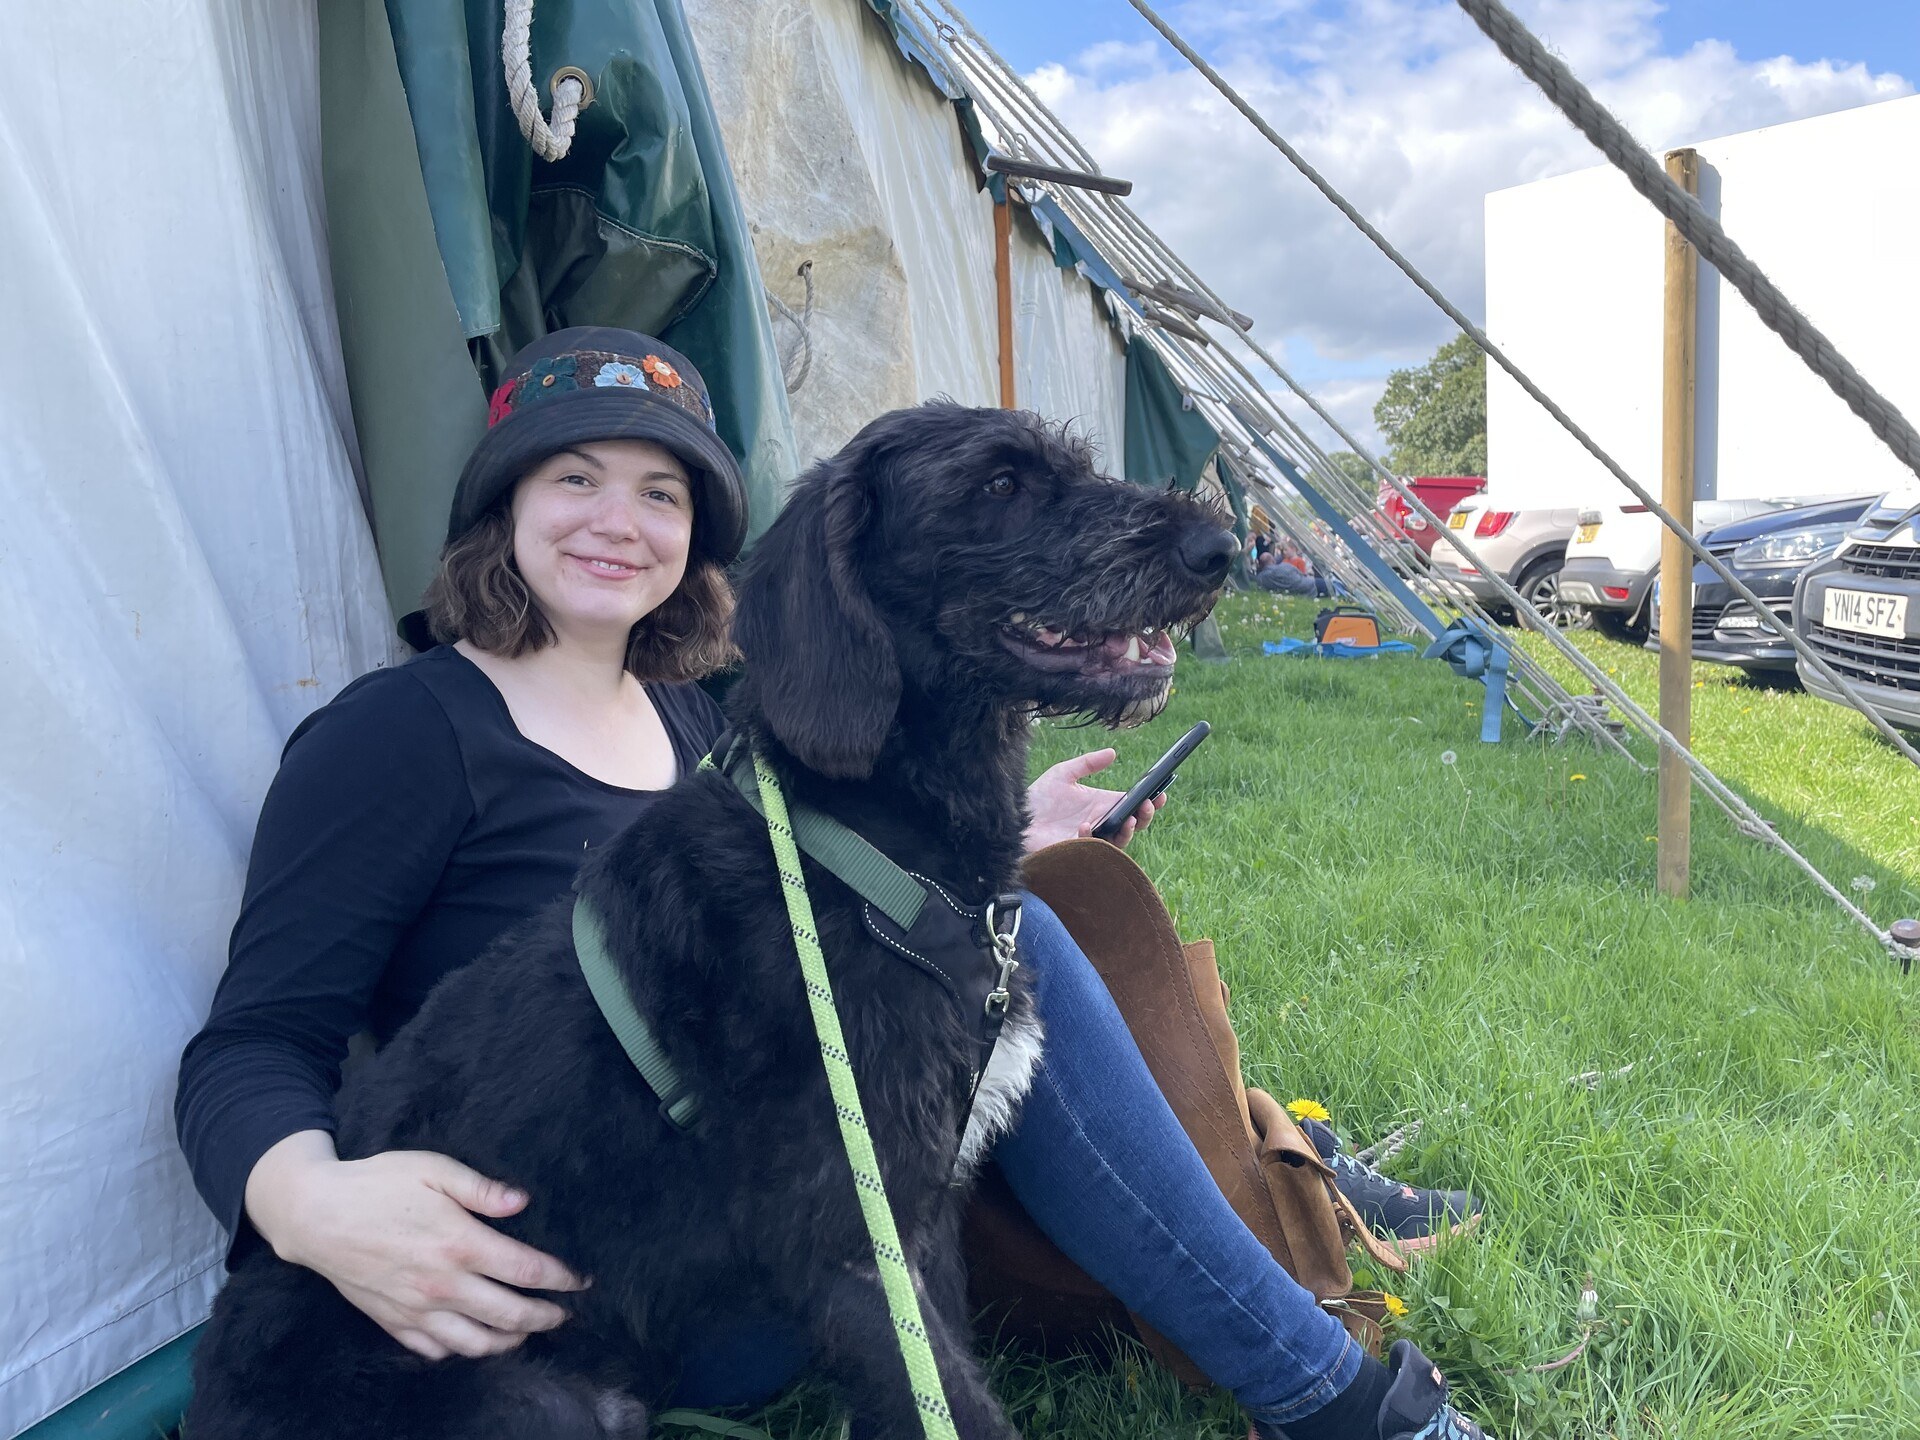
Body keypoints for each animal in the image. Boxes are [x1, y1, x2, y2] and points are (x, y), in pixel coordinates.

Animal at [183, 401, 1228, 1436]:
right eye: (1002, 484)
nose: (1218, 548)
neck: (857, 839)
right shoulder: (852, 1246)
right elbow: (950, 1407)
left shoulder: (923, 1225)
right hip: (528, 1406)